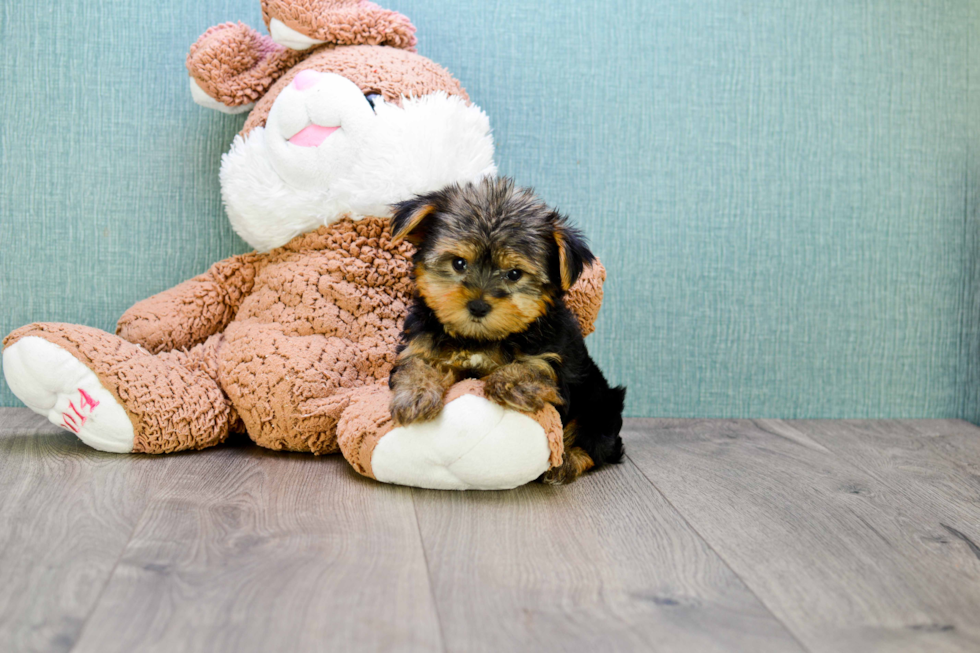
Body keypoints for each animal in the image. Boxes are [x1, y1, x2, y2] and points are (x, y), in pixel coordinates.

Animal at [386, 176, 624, 482]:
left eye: (514, 274)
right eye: (458, 263)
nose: (477, 306)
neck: (479, 340)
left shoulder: (553, 356)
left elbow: (535, 367)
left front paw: (510, 382)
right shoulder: (420, 345)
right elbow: (416, 365)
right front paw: (416, 394)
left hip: (601, 403)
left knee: (594, 442)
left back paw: (567, 462)